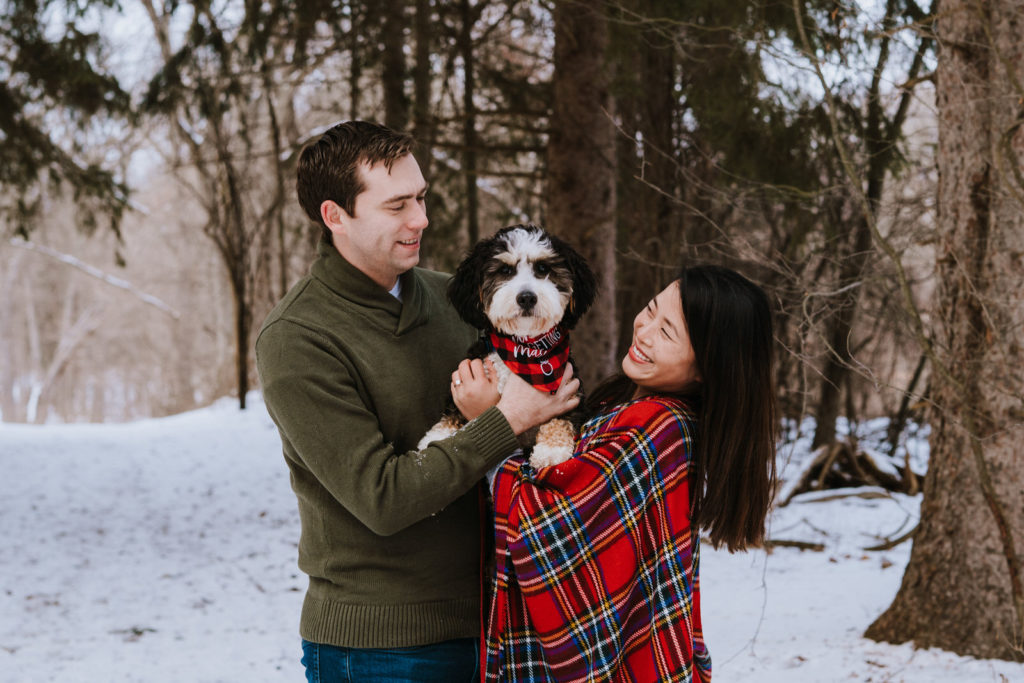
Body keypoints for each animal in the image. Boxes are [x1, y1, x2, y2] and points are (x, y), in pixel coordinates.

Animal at [415, 224, 598, 471]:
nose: (527, 297)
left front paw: (551, 449)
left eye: (543, 268)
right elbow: (455, 409)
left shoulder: (571, 392)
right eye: (505, 270)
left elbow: (561, 418)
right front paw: (439, 435)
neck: (523, 348)